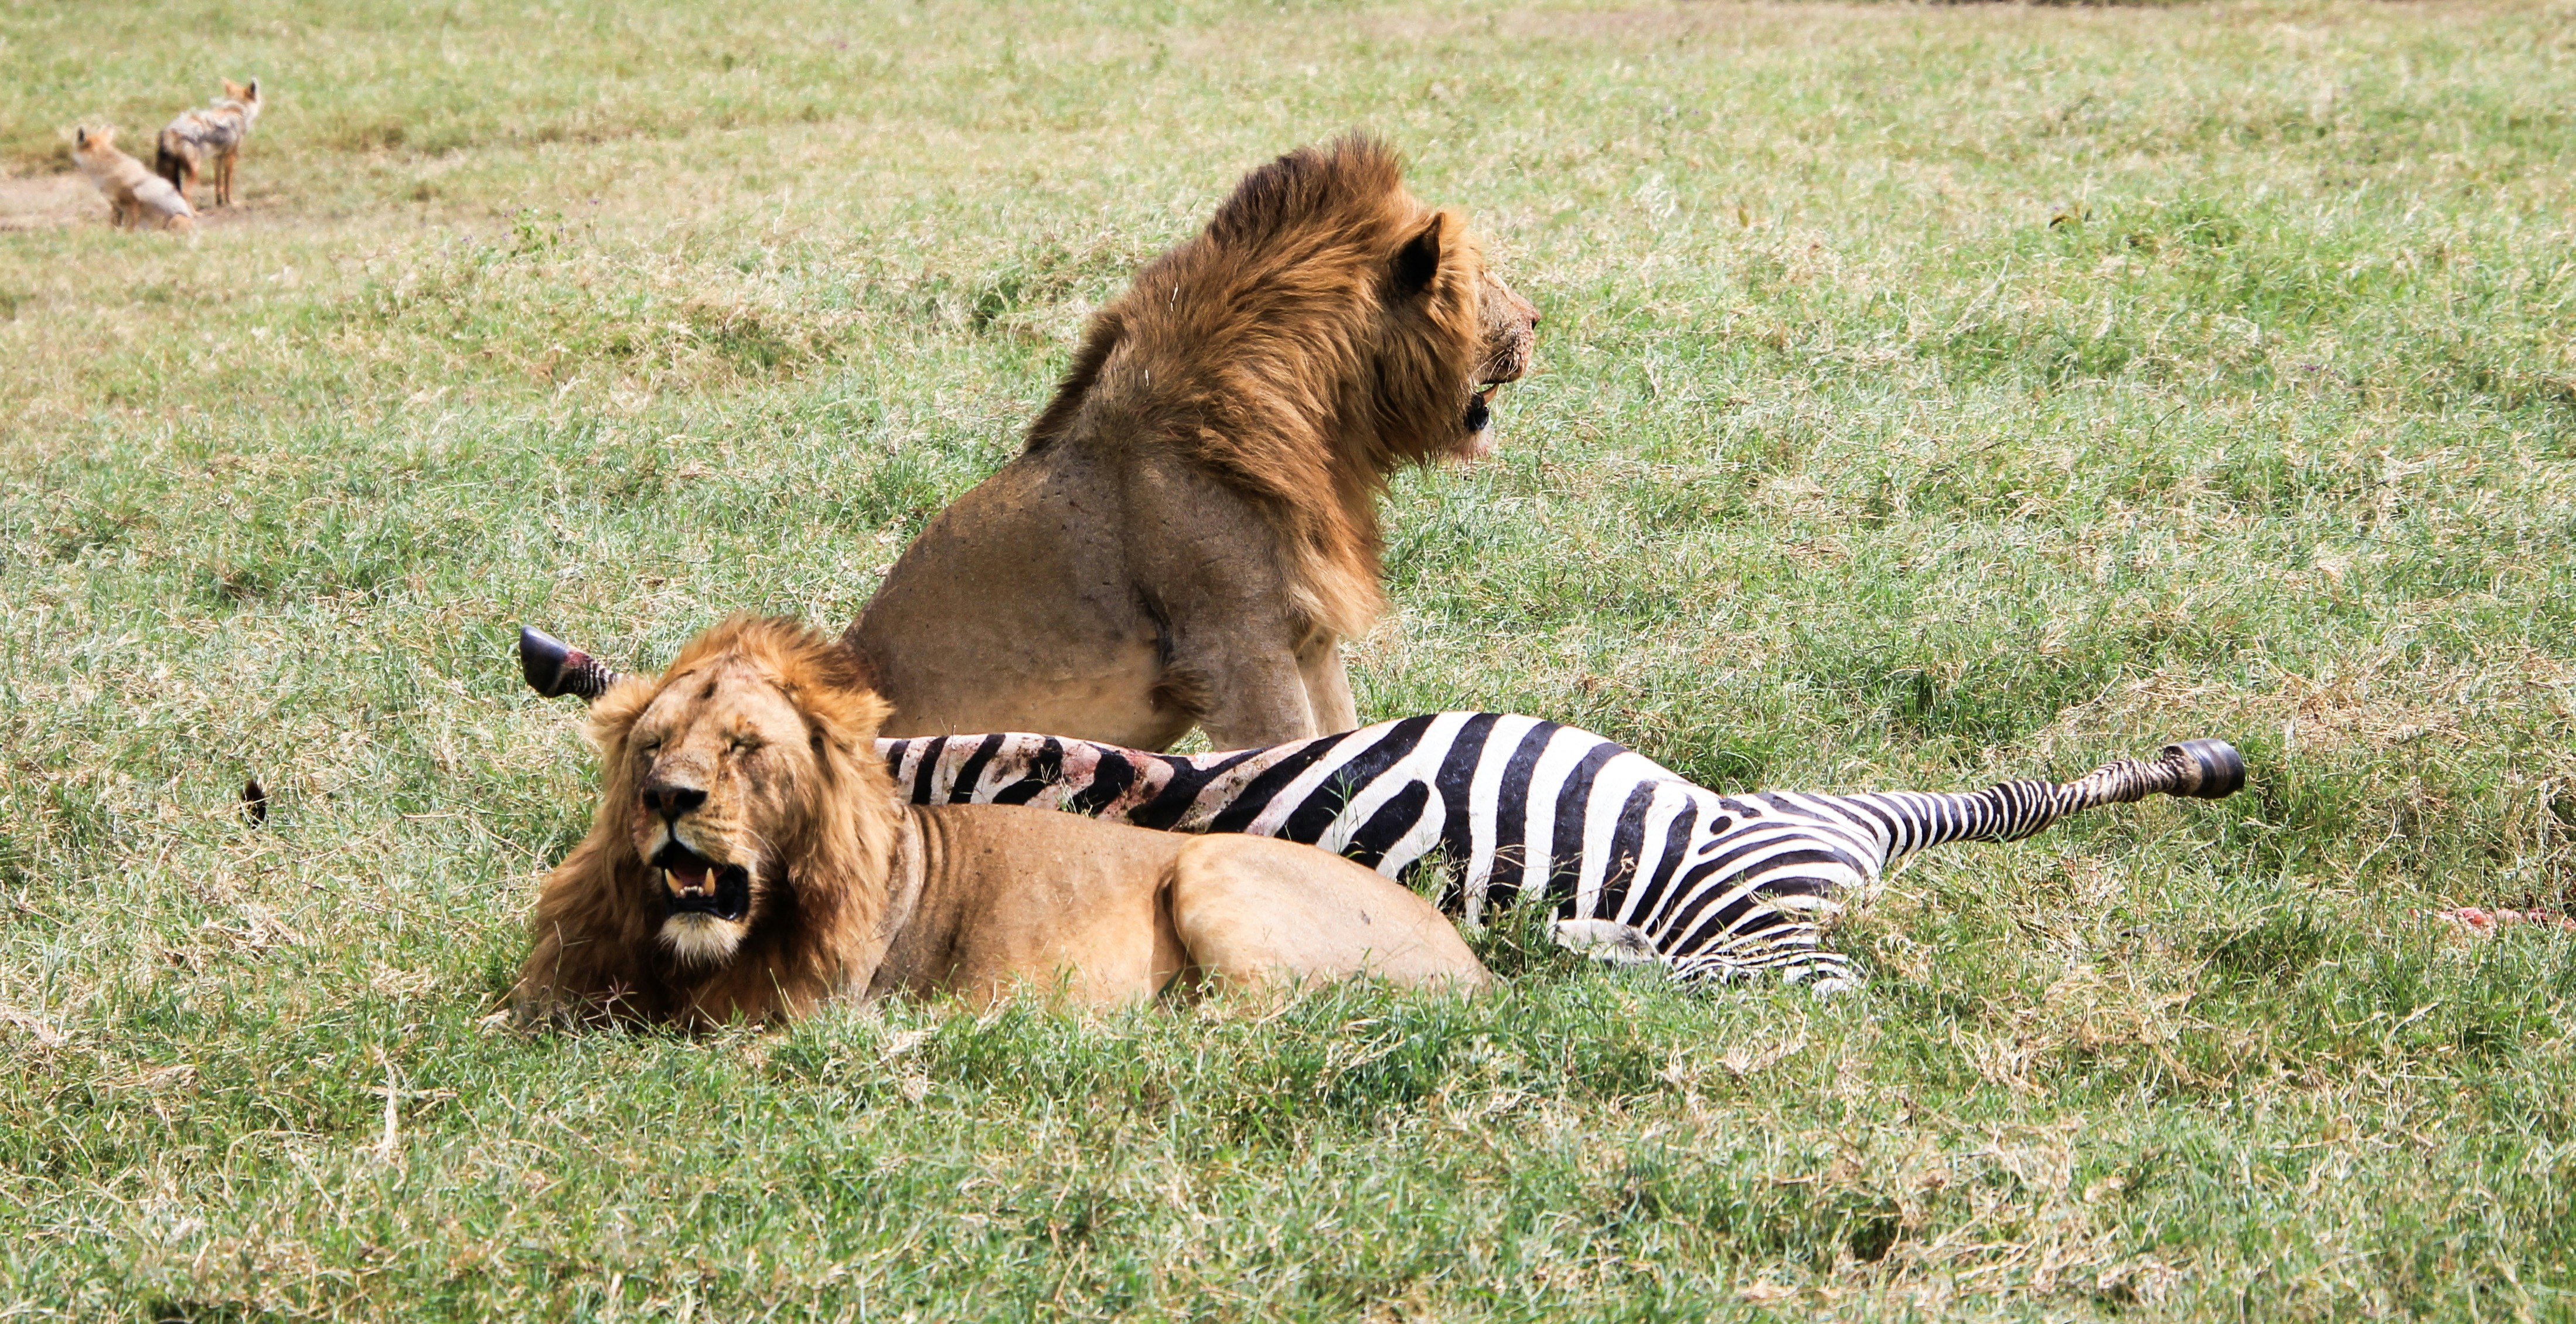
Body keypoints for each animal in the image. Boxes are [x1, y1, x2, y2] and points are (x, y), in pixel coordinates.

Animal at [513, 615, 1488, 1028]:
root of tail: (1478, 972)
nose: (668, 798)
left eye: (746, 747)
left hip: (1213, 865)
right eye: (653, 744)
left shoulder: (794, 1016)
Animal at [843, 135, 1538, 751]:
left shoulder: (1309, 640)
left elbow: (1338, 743)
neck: (1325, 429)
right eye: (1481, 276)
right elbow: (1288, 759)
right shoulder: (1235, 649)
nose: (1537, 320)